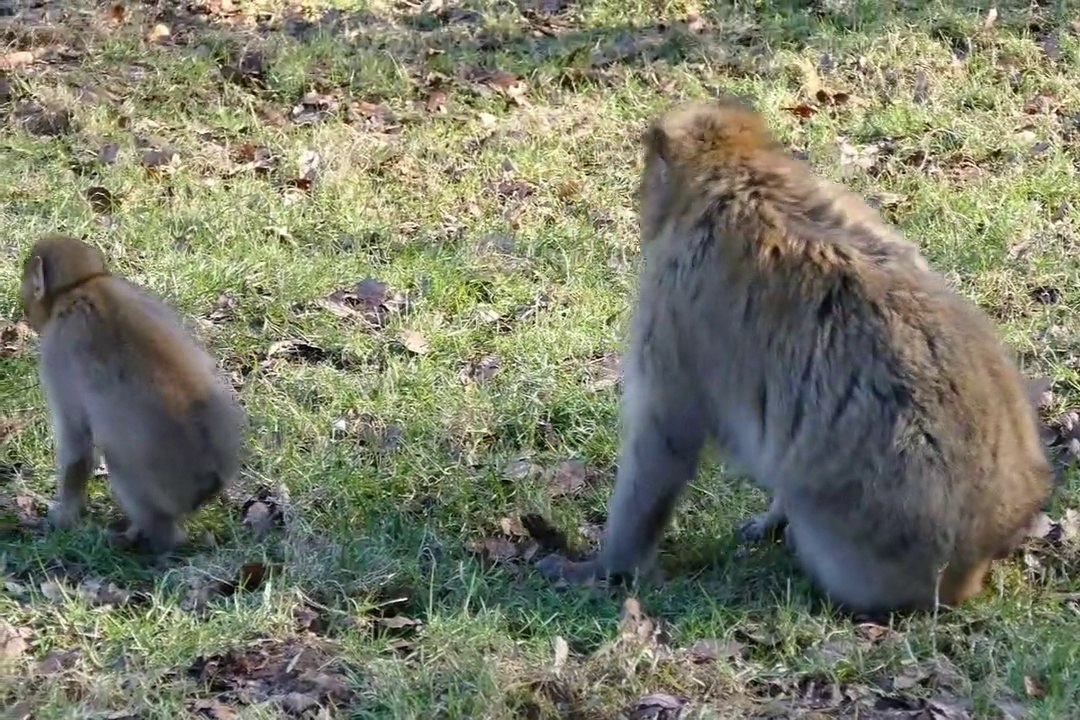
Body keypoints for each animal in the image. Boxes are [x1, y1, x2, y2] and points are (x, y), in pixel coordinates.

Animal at [19, 234, 247, 554]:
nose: (23, 296)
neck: (82, 286)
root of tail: (211, 480)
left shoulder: (58, 350)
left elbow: (77, 441)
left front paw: (64, 516)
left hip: (158, 485)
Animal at [536, 99, 1052, 615]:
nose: (639, 192)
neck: (739, 176)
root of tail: (979, 559)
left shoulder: (674, 296)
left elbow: (664, 441)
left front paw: (604, 568)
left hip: (853, 545)